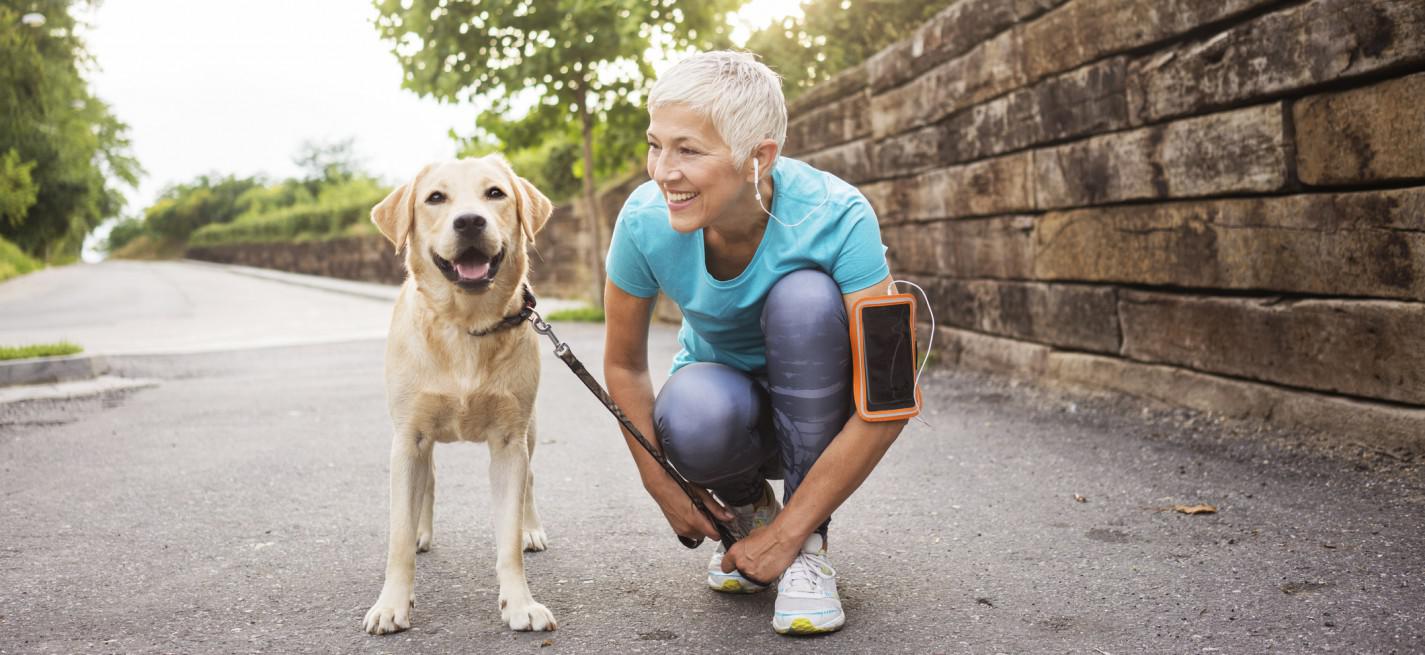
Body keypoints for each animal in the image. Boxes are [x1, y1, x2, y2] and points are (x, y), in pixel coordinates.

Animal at [361, 154, 555, 635]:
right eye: (435, 198)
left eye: (495, 193)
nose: (469, 221)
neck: (467, 326)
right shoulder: (408, 437)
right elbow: (398, 538)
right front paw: (392, 603)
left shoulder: (508, 441)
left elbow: (507, 538)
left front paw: (520, 603)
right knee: (428, 480)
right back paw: (421, 531)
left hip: (530, 430)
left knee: (530, 479)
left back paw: (531, 528)